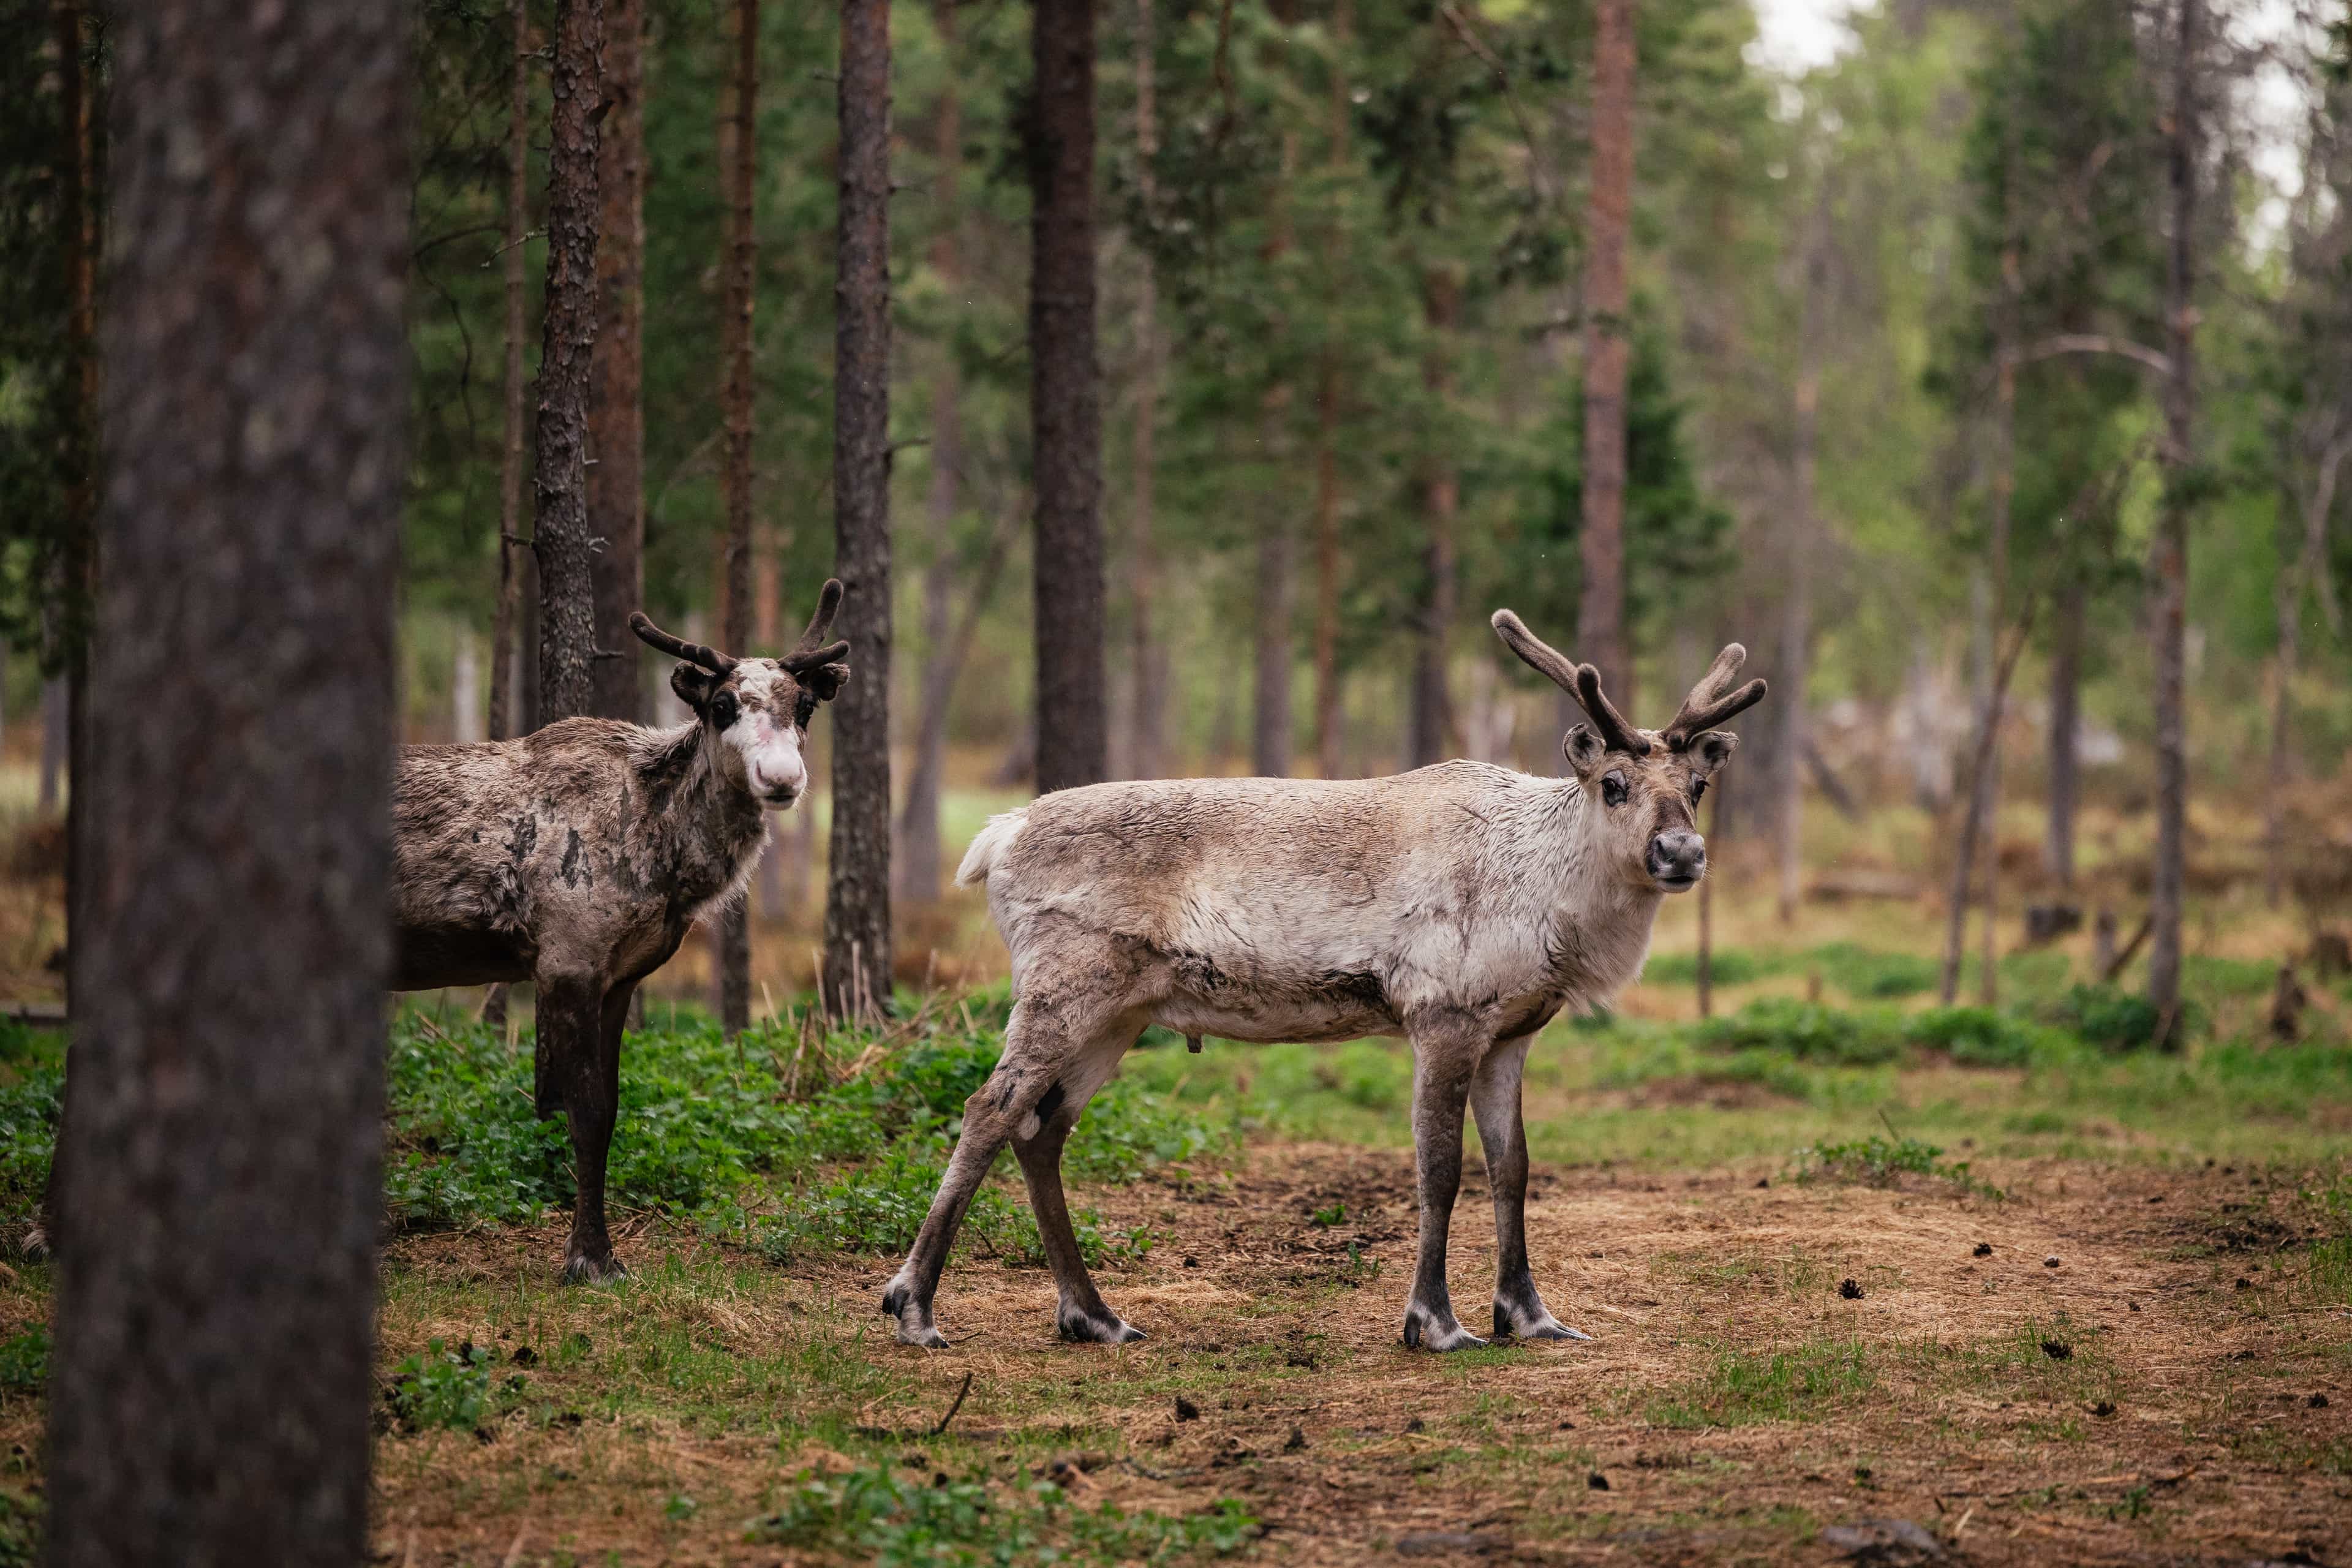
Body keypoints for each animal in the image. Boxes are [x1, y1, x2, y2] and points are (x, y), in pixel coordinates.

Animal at [391, 581, 849, 1283]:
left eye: (804, 705)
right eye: (721, 705)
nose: (781, 778)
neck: (664, 860)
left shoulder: (619, 978)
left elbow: (608, 1112)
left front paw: (601, 1251)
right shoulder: (567, 962)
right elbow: (583, 1112)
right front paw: (589, 1257)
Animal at [880, 611, 1765, 1351]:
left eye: (1697, 787)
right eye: (1613, 785)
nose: (1681, 853)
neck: (1546, 890)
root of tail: (998, 836)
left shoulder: (1512, 1029)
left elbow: (1512, 1167)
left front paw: (1531, 1316)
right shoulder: (1443, 1015)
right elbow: (1440, 1166)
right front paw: (1435, 1322)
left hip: (1120, 1014)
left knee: (1044, 1131)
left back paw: (1094, 1315)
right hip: (1064, 985)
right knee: (990, 1109)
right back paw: (914, 1307)